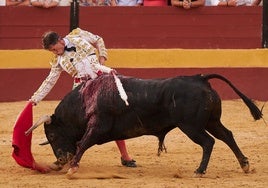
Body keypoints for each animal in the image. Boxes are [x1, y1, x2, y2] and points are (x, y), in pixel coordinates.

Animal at [26, 74, 262, 178]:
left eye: (53, 136)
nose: (60, 160)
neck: (85, 99)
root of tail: (200, 78)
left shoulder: (98, 127)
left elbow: (82, 144)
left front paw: (72, 168)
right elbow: (82, 144)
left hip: (191, 126)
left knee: (208, 142)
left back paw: (200, 170)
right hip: (211, 121)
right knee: (227, 135)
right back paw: (244, 164)